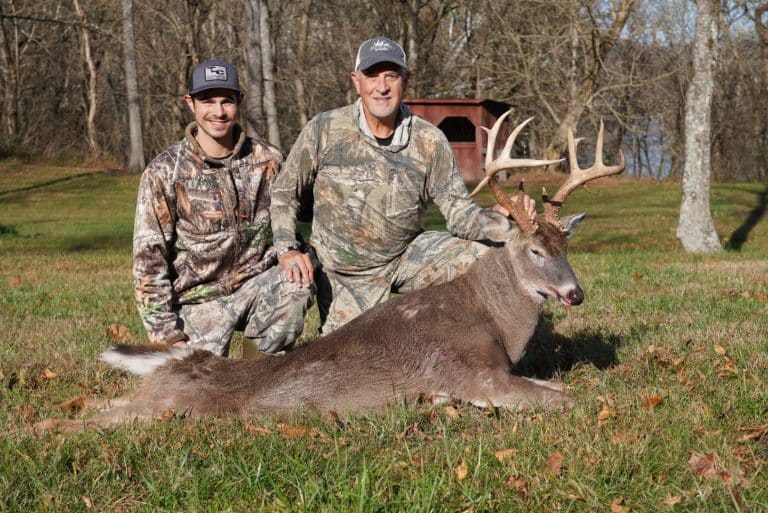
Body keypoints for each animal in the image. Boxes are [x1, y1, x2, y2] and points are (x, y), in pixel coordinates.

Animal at [34, 112, 624, 432]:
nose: (574, 293)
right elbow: (568, 400)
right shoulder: (471, 372)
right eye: (534, 250)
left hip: (153, 396)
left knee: (101, 401)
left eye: (567, 244)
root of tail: (181, 362)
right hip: (169, 408)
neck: (496, 320)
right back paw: (38, 428)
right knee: (92, 417)